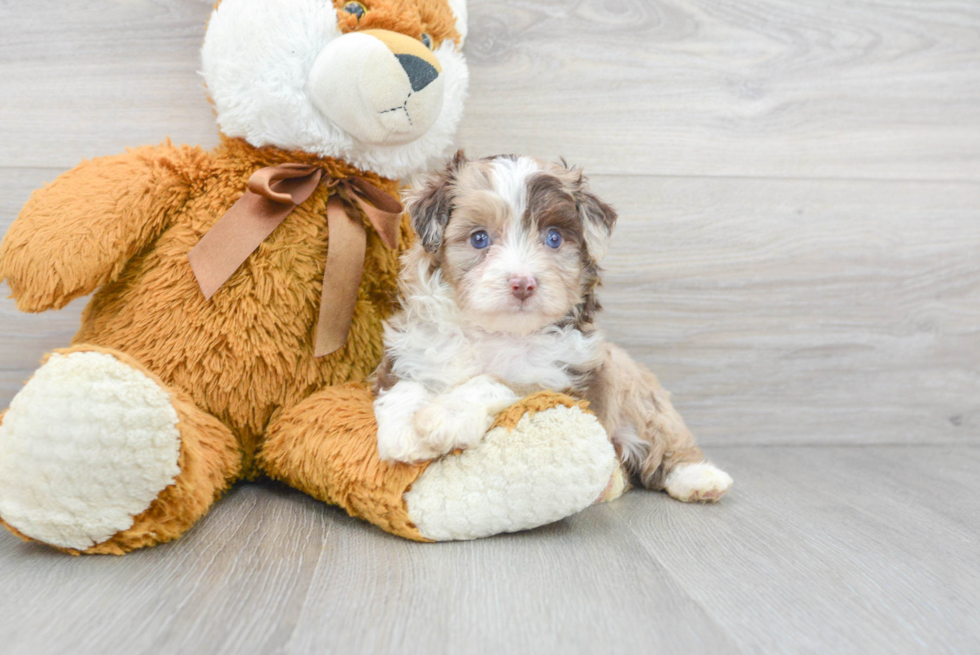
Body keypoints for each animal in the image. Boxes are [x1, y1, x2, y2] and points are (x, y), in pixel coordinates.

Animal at [372, 152, 732, 502]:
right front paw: (403, 433)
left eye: (554, 238)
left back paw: (699, 478)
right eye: (479, 238)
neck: (496, 332)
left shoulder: (561, 382)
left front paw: (445, 416)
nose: (523, 283)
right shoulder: (409, 353)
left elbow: (497, 381)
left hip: (637, 396)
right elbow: (405, 385)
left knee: (663, 441)